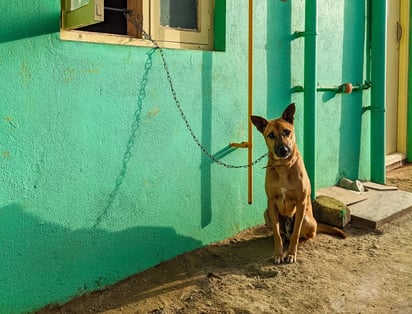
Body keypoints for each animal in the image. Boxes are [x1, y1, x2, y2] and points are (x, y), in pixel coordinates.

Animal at [251, 104, 344, 264]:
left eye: (286, 132)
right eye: (271, 135)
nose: (283, 150)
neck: (283, 167)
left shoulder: (301, 202)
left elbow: (296, 234)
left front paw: (291, 254)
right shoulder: (271, 202)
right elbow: (276, 234)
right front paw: (278, 253)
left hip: (306, 219)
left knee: (305, 235)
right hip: (267, 213)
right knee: (281, 234)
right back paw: (283, 240)